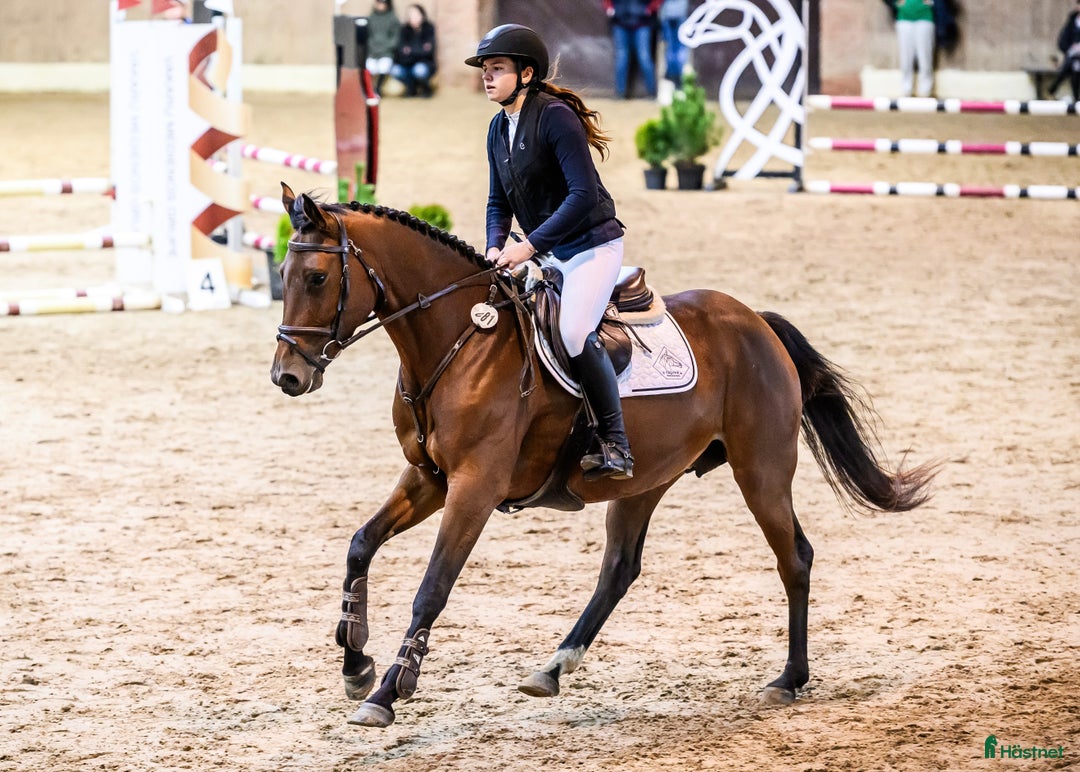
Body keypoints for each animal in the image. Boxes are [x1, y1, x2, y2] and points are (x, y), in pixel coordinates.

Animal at [270, 184, 936, 728]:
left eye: (318, 279)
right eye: (282, 272)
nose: (287, 377)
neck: (458, 342)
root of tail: (756, 322)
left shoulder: (474, 488)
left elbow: (432, 587)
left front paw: (389, 689)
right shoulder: (428, 478)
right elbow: (360, 544)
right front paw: (355, 663)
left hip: (761, 472)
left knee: (794, 557)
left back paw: (789, 680)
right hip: (645, 480)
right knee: (619, 568)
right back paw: (553, 667)